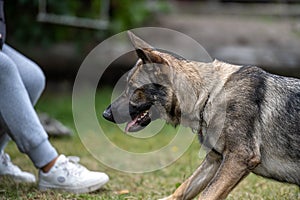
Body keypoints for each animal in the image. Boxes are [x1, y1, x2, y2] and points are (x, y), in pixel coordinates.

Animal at [102, 32, 298, 199]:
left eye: (132, 88)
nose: (105, 114)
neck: (209, 95)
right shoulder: (214, 161)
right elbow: (182, 190)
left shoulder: (239, 158)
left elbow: (207, 194)